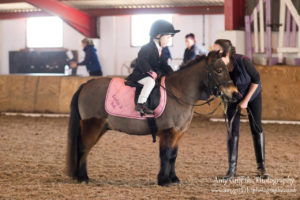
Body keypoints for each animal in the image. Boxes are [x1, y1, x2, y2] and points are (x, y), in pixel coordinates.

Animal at [66, 51, 239, 186]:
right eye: (218, 70)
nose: (235, 94)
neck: (178, 93)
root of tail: (86, 85)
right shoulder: (169, 131)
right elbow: (165, 155)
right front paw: (164, 180)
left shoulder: (178, 133)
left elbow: (173, 156)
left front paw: (174, 178)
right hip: (92, 125)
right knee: (83, 148)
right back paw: (83, 178)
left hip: (101, 127)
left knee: (85, 149)